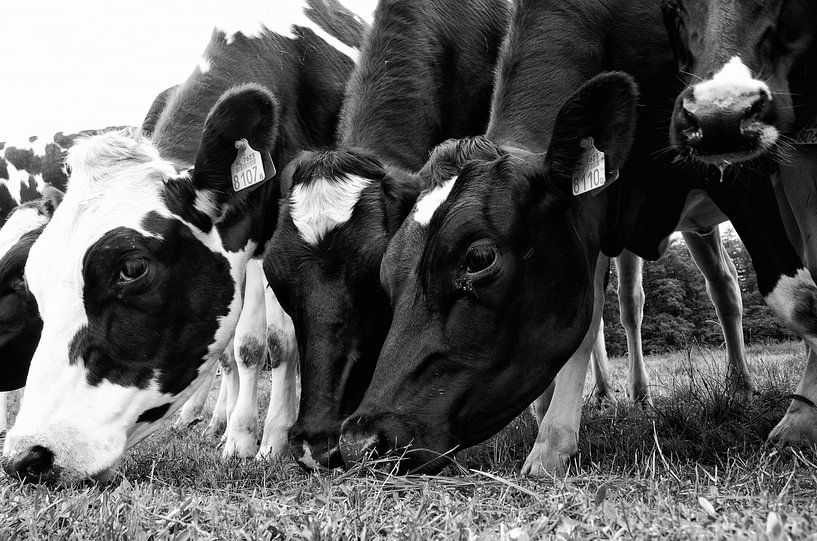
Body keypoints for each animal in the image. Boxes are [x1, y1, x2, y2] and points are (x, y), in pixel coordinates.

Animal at [1, 0, 368, 480]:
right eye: (32, 281)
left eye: (132, 268)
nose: (25, 455)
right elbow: (244, 345)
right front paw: (240, 436)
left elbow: (273, 341)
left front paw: (269, 440)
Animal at [334, 0, 812, 474]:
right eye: (385, 276)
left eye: (479, 258)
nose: (360, 441)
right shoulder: (592, 215)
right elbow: (588, 317)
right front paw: (551, 444)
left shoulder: (739, 159)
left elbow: (796, 296)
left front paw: (799, 422)